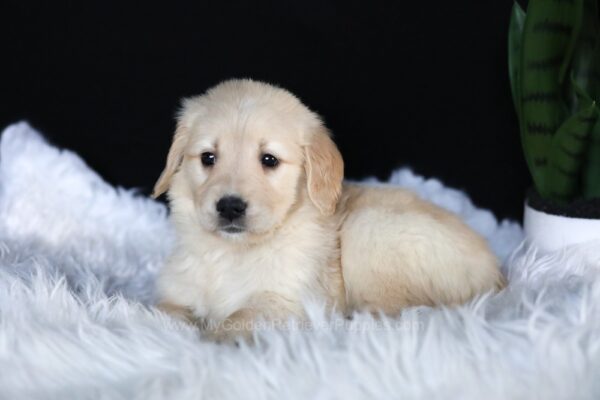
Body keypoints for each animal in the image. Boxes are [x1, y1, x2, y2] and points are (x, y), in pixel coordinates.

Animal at [152, 79, 504, 342]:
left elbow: (240, 316)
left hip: (370, 230)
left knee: (396, 311)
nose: (229, 206)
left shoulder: (289, 300)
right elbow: (162, 310)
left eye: (269, 160)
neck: (229, 252)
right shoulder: (177, 293)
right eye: (208, 158)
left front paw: (212, 340)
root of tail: (497, 276)